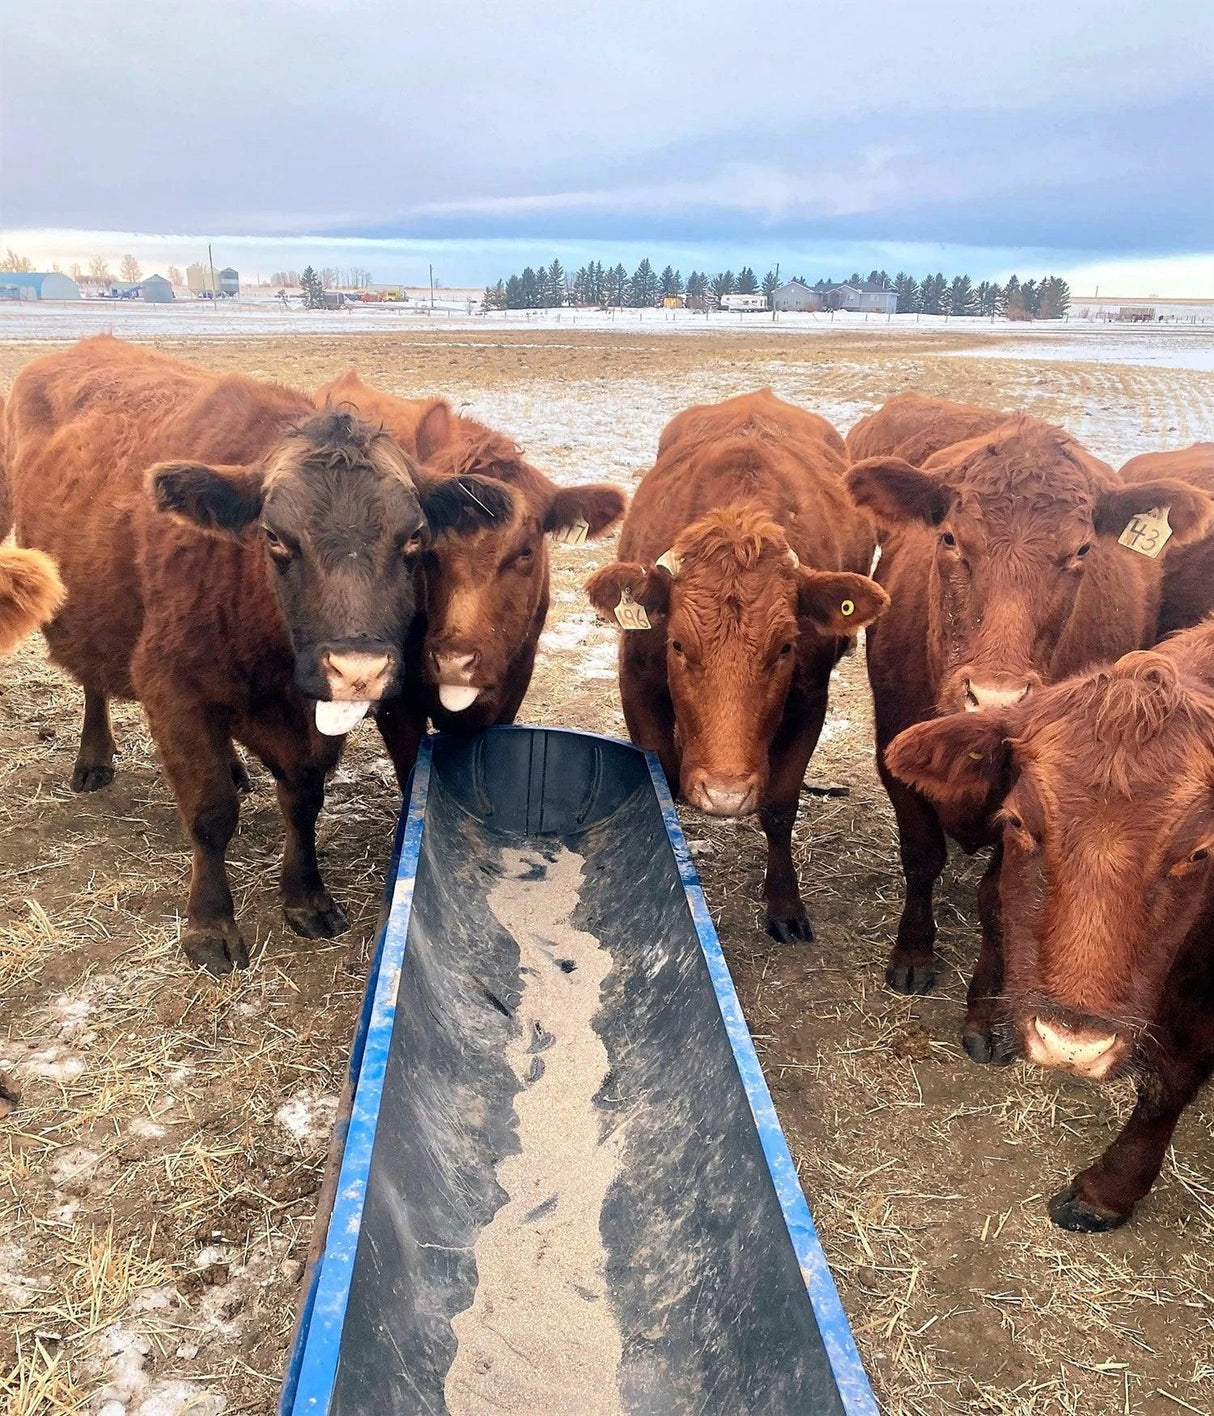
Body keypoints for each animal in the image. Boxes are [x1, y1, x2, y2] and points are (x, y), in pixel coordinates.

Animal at [4, 336, 508, 973]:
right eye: (274, 536)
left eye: (414, 537)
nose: (358, 670)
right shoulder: (173, 692)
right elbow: (210, 812)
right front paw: (210, 924)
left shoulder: (307, 726)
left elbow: (304, 799)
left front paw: (305, 896)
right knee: (94, 682)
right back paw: (94, 758)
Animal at [586, 389, 888, 941]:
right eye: (677, 644)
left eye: (786, 647)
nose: (725, 795)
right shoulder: (637, 681)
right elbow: (664, 786)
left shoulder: (810, 700)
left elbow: (780, 806)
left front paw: (784, 903)